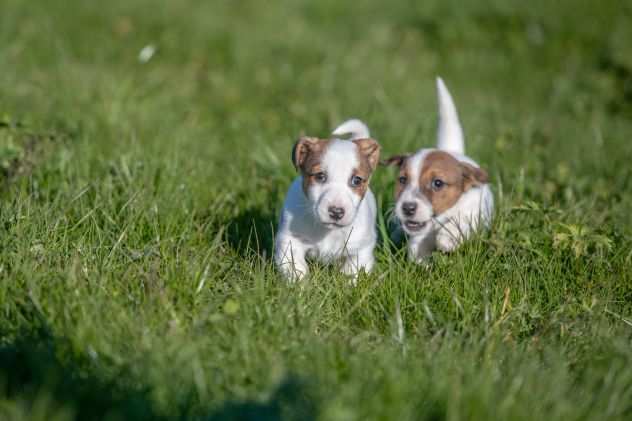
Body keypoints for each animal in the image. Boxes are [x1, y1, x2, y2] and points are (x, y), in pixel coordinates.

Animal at [276, 119, 380, 282]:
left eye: (356, 180)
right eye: (320, 176)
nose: (336, 212)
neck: (328, 231)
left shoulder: (361, 248)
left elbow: (351, 271)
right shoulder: (289, 241)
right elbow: (296, 268)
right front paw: (299, 285)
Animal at [382, 75, 496, 260]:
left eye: (437, 183)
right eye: (402, 180)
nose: (407, 208)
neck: (436, 222)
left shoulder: (472, 210)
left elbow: (460, 221)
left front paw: (447, 239)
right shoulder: (418, 234)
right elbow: (417, 247)